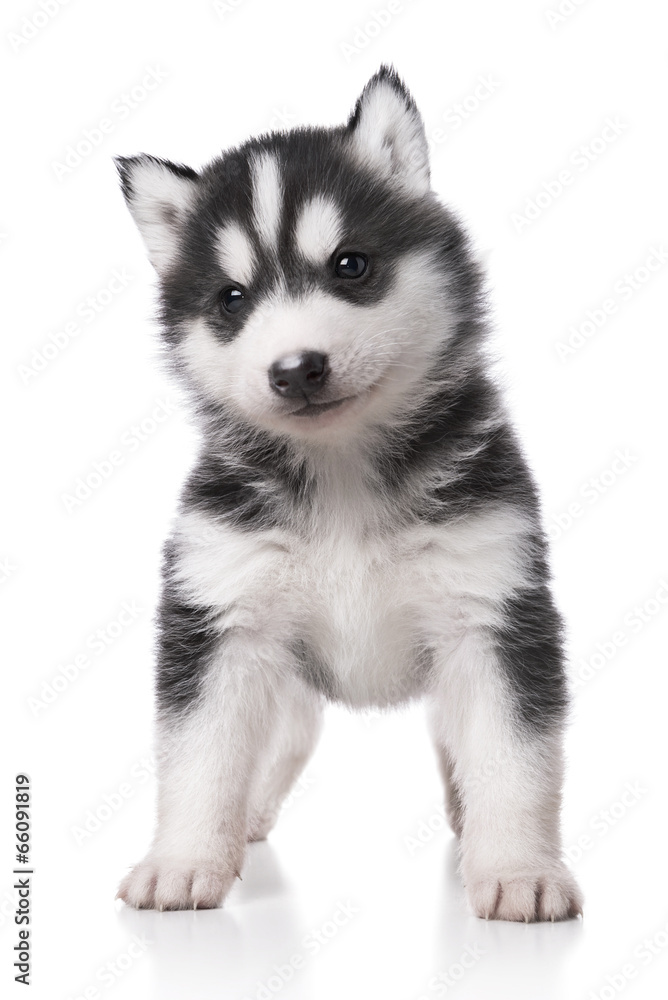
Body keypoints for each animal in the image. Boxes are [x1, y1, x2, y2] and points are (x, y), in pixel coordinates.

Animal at [116, 64, 584, 920]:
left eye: (350, 266)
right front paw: (184, 860)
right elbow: (199, 754)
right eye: (233, 299)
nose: (296, 369)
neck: (340, 475)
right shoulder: (221, 615)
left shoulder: (492, 609)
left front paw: (518, 870)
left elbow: (511, 757)